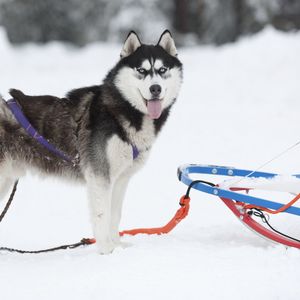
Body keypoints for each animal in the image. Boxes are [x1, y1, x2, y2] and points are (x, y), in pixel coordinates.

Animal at [0, 30, 183, 253]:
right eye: (141, 70)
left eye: (162, 70)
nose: (155, 88)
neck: (121, 111)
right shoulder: (100, 176)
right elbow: (102, 215)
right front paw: (106, 249)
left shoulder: (120, 179)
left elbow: (115, 215)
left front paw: (117, 245)